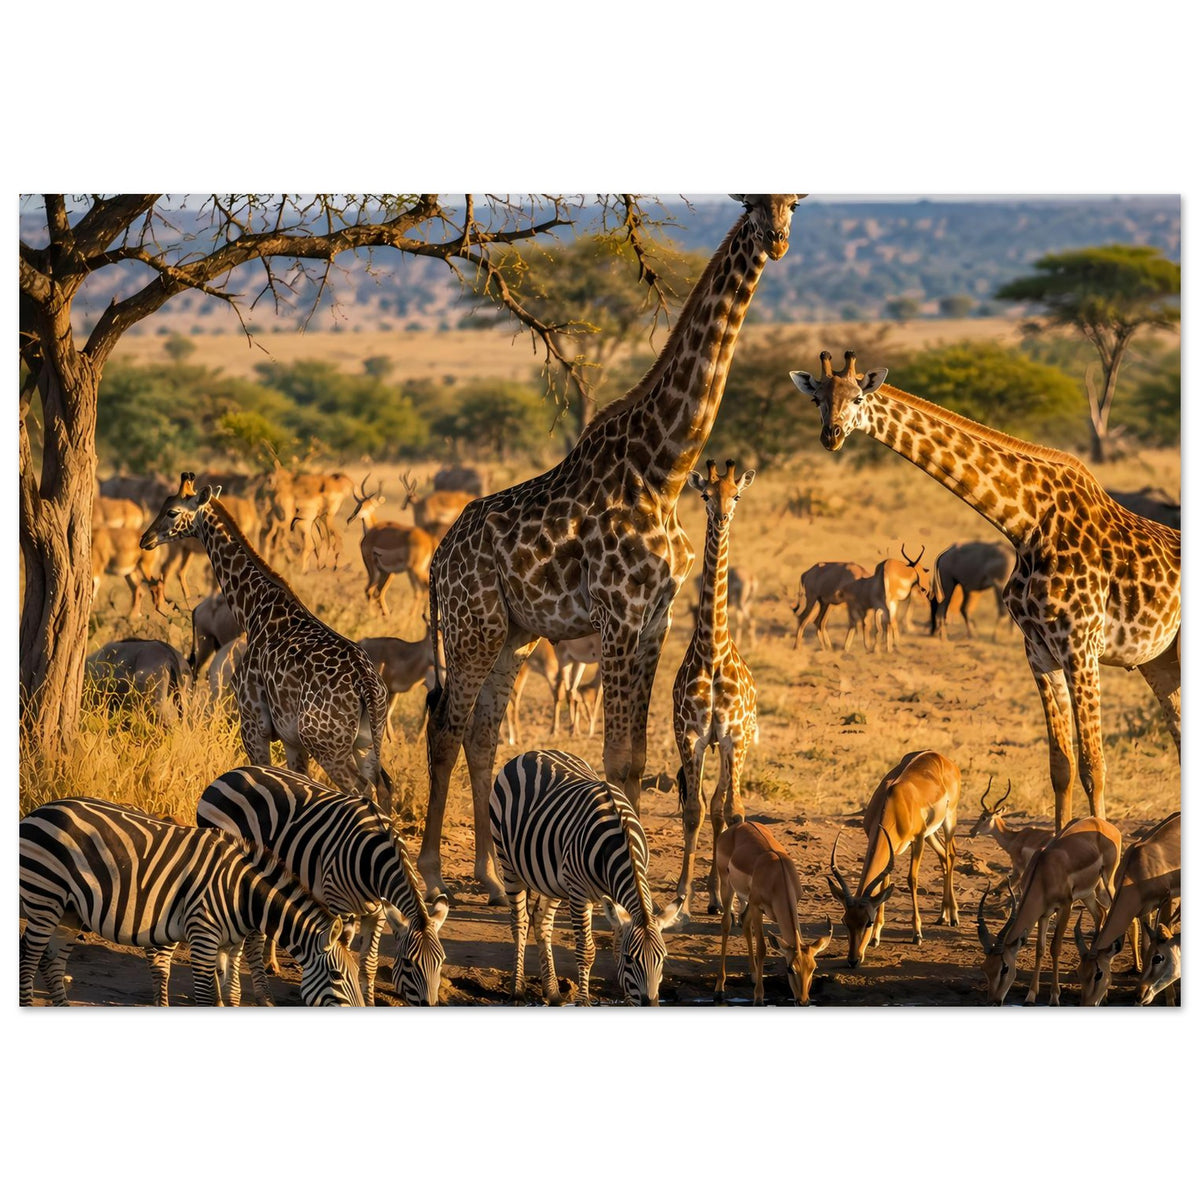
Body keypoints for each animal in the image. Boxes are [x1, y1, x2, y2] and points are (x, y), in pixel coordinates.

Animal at [19, 796, 363, 1007]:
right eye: (336, 977)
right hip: (45, 898)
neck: (243, 893)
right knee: (29, 957)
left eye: (355, 977)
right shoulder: (203, 935)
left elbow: (233, 993)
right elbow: (206, 995)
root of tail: (38, 811)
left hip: (70, 911)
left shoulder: (230, 944)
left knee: (52, 962)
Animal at [197, 765, 449, 1005]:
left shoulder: (377, 912)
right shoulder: (339, 905)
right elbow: (342, 951)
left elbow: (369, 965)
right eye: (408, 963)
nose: (429, 1005)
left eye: (441, 962)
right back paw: (258, 996)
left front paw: (369, 1001)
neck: (375, 859)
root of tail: (229, 773)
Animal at [489, 749, 682, 1006]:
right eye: (630, 959)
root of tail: (532, 752)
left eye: (662, 958)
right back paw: (517, 990)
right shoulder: (580, 893)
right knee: (519, 922)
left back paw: (553, 992)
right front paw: (583, 1001)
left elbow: (615, 945)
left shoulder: (614, 898)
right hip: (508, 861)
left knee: (541, 921)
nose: (649, 1004)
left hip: (552, 879)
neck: (621, 843)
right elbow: (586, 950)